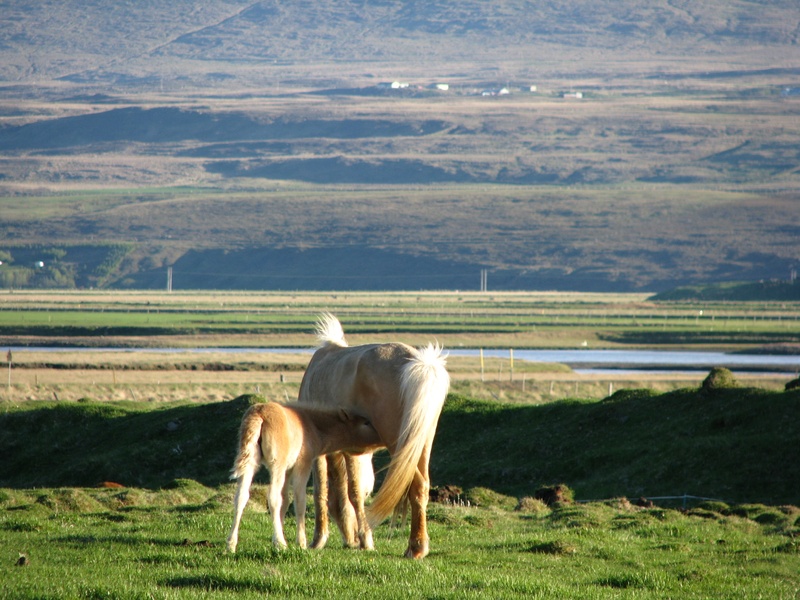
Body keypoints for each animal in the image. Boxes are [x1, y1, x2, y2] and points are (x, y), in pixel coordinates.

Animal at [226, 401, 383, 553]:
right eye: (366, 423)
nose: (381, 437)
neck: (312, 425)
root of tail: (259, 414)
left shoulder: (288, 470)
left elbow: (285, 501)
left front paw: (276, 537)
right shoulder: (302, 465)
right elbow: (299, 500)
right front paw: (300, 542)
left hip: (250, 462)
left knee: (241, 496)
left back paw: (231, 544)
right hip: (277, 465)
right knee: (273, 497)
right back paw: (280, 543)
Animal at [298, 313, 450, 559]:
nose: (349, 540)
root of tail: (420, 364)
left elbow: (328, 491)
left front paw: (320, 540)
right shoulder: (356, 452)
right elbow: (356, 490)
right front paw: (362, 538)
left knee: (415, 484)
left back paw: (415, 548)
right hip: (422, 444)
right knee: (423, 486)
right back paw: (417, 545)